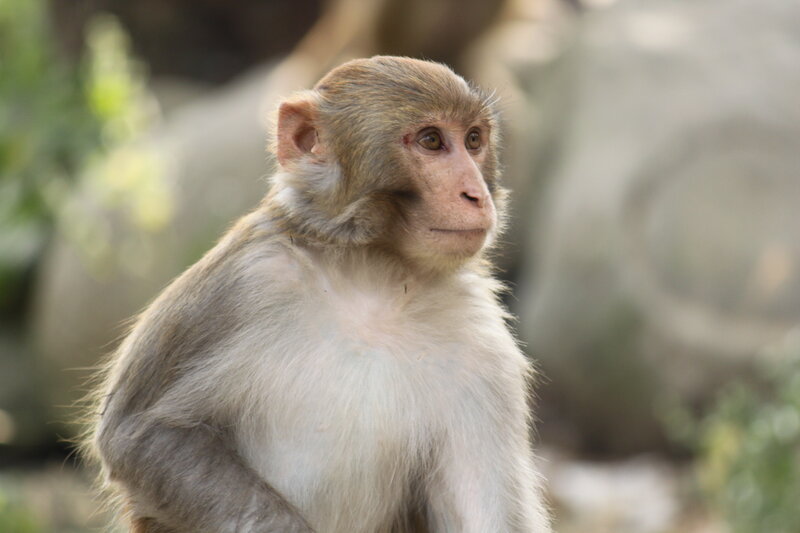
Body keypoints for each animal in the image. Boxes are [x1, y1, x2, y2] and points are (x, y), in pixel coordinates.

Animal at [88, 56, 551, 533]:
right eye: (432, 141)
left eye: (474, 140)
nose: (475, 194)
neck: (374, 277)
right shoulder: (240, 284)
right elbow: (140, 435)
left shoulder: (481, 343)